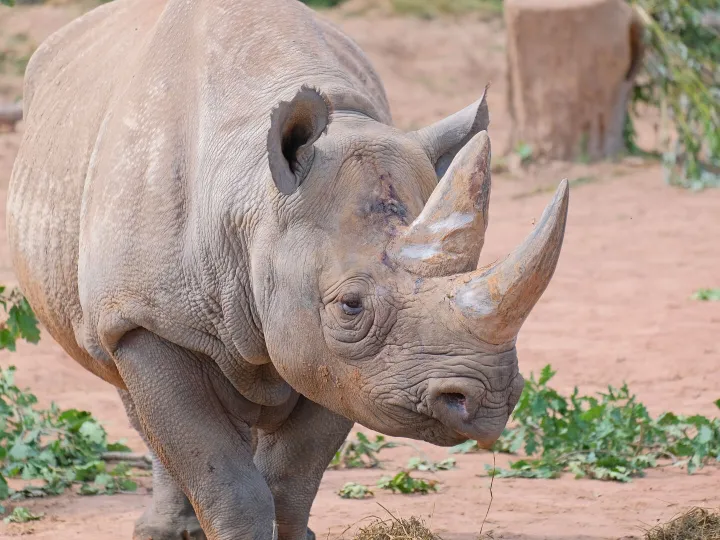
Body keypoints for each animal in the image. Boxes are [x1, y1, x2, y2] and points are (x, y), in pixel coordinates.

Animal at [6, 0, 569, 538]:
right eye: (350, 306)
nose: (489, 401)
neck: (249, 197)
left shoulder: (338, 364)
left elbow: (291, 479)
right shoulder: (147, 318)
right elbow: (223, 477)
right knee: (132, 391)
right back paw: (163, 532)